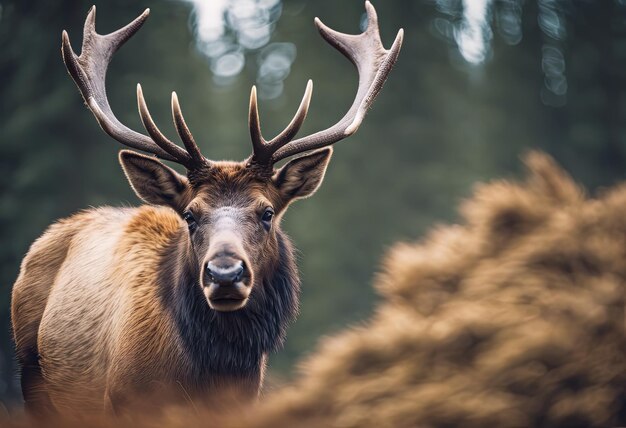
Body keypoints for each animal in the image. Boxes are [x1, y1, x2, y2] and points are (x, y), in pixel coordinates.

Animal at [12, 1, 402, 418]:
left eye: (267, 213)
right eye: (190, 215)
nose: (225, 274)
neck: (207, 379)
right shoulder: (121, 402)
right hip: (32, 378)